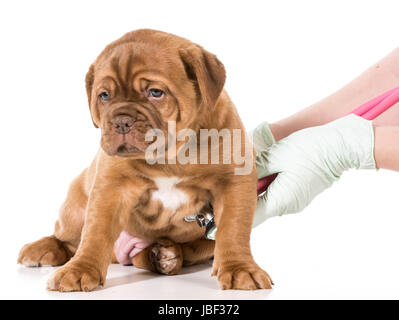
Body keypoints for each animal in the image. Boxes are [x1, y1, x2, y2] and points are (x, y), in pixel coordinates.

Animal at [17, 28, 274, 292]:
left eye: (155, 93)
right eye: (104, 96)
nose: (121, 121)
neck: (170, 156)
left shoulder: (234, 181)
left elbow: (233, 229)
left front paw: (240, 268)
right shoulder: (111, 186)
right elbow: (96, 232)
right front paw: (79, 270)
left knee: (185, 250)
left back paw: (164, 256)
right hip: (75, 203)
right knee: (69, 239)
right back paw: (43, 249)